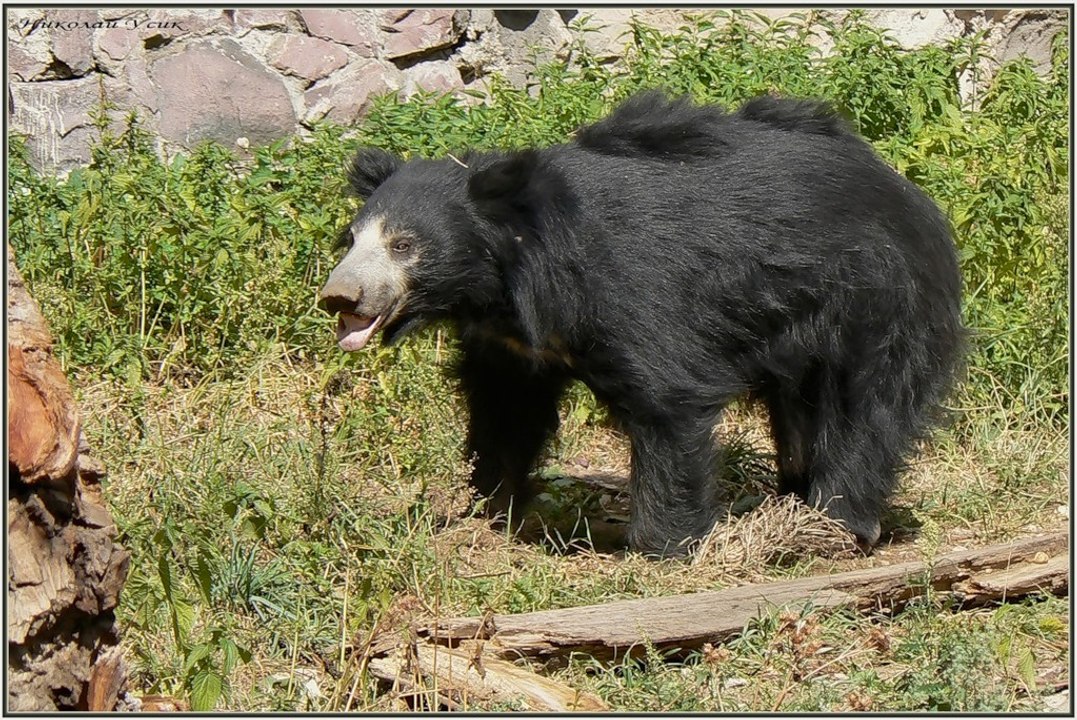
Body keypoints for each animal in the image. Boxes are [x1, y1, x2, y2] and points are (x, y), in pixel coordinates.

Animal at [318, 91, 965, 557]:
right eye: (352, 239)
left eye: (404, 245)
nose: (338, 298)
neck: (508, 278)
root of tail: (907, 191)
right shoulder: (513, 346)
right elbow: (505, 411)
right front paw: (486, 511)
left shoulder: (632, 291)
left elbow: (667, 402)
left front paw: (659, 548)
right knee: (800, 413)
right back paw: (794, 499)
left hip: (874, 299)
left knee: (865, 407)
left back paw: (835, 523)